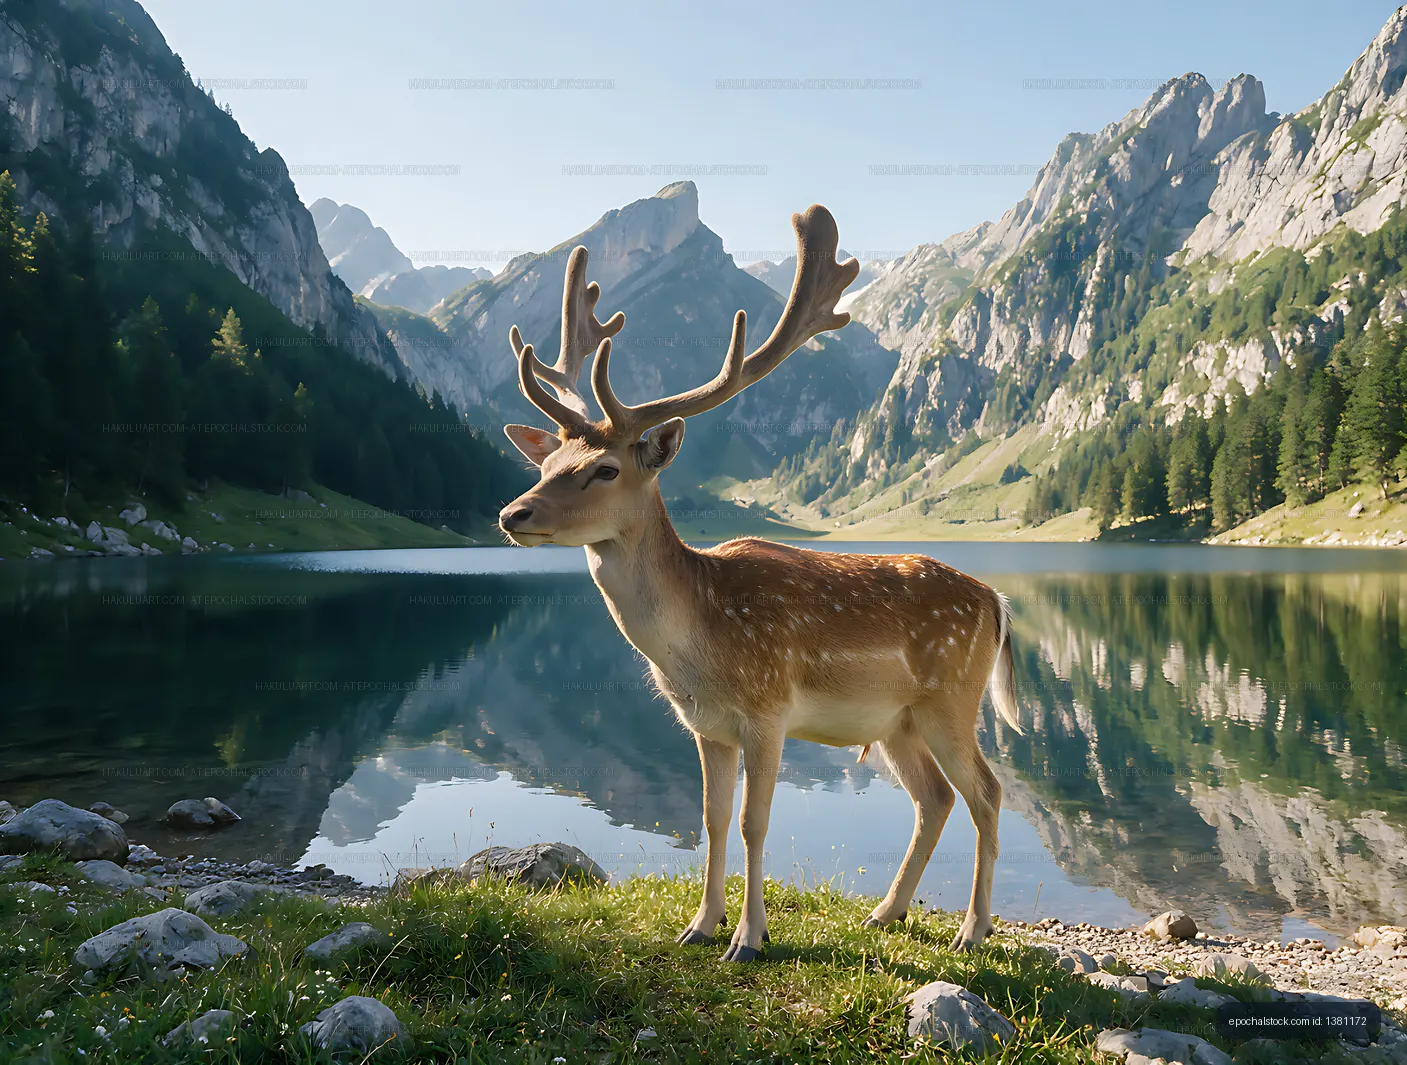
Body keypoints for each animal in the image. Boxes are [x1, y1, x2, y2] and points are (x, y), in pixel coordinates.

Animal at [497, 204, 1022, 962]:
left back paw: (972, 929)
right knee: (935, 797)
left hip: (952, 696)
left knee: (985, 790)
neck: (699, 649)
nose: (513, 513)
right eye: (547, 462)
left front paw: (749, 936)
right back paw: (886, 912)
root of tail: (996, 601)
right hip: (897, 719)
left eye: (604, 469)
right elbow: (712, 819)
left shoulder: (769, 708)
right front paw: (699, 924)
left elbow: (754, 821)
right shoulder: (705, 725)